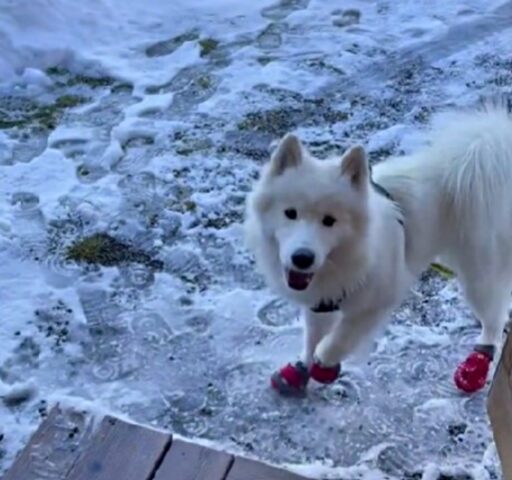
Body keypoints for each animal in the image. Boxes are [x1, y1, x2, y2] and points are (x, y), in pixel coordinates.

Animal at [243, 99, 512, 396]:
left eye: (329, 220)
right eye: (290, 213)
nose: (302, 258)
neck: (345, 255)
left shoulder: (381, 296)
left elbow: (343, 335)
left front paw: (325, 362)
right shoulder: (321, 301)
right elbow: (313, 336)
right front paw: (302, 368)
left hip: (478, 270)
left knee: (494, 318)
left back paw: (476, 365)